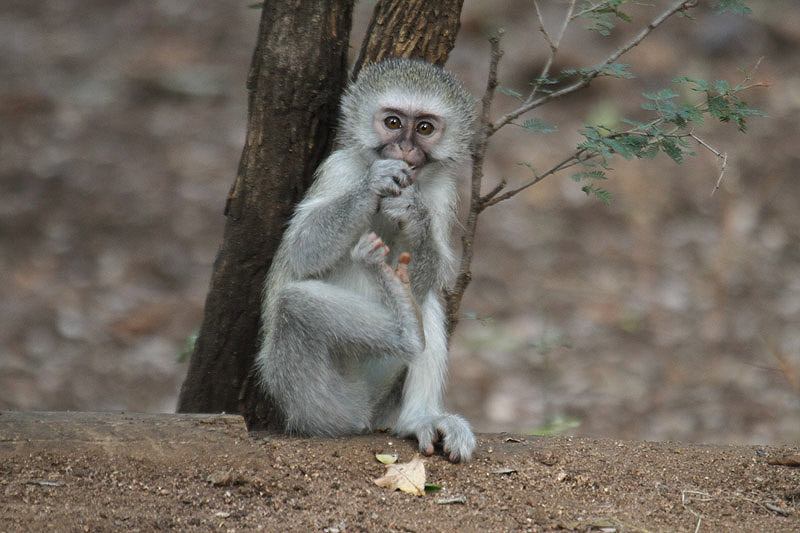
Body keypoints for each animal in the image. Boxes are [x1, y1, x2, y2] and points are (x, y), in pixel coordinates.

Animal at [258, 57, 476, 458]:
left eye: (424, 128)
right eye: (392, 123)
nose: (404, 150)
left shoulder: (440, 191)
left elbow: (428, 273)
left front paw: (413, 214)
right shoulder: (340, 168)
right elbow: (300, 250)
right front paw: (373, 187)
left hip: (378, 390)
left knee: (425, 299)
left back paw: (418, 417)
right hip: (312, 395)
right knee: (295, 302)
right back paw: (406, 332)